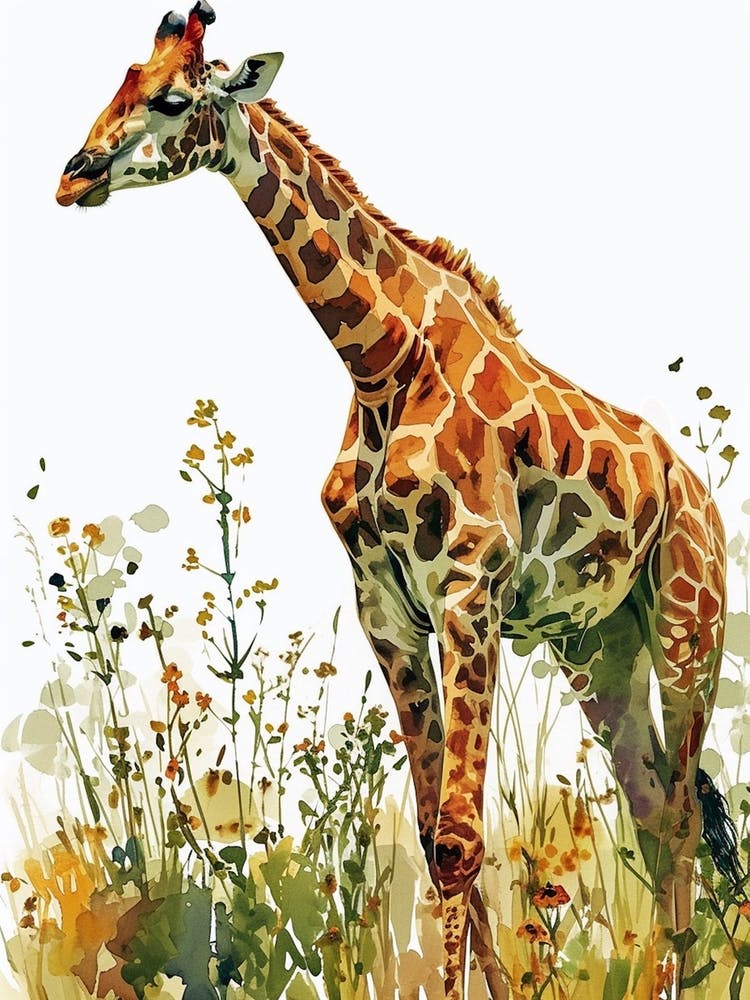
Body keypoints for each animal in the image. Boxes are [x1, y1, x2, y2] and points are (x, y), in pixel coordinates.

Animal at [56, 4, 739, 996]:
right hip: (598, 647)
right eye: (123, 77)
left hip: (688, 625)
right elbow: (433, 835)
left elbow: (458, 840)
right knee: (651, 807)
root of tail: (700, 496)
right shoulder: (387, 607)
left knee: (684, 812)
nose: (72, 176)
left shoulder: (469, 590)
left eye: (174, 96)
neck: (379, 359)